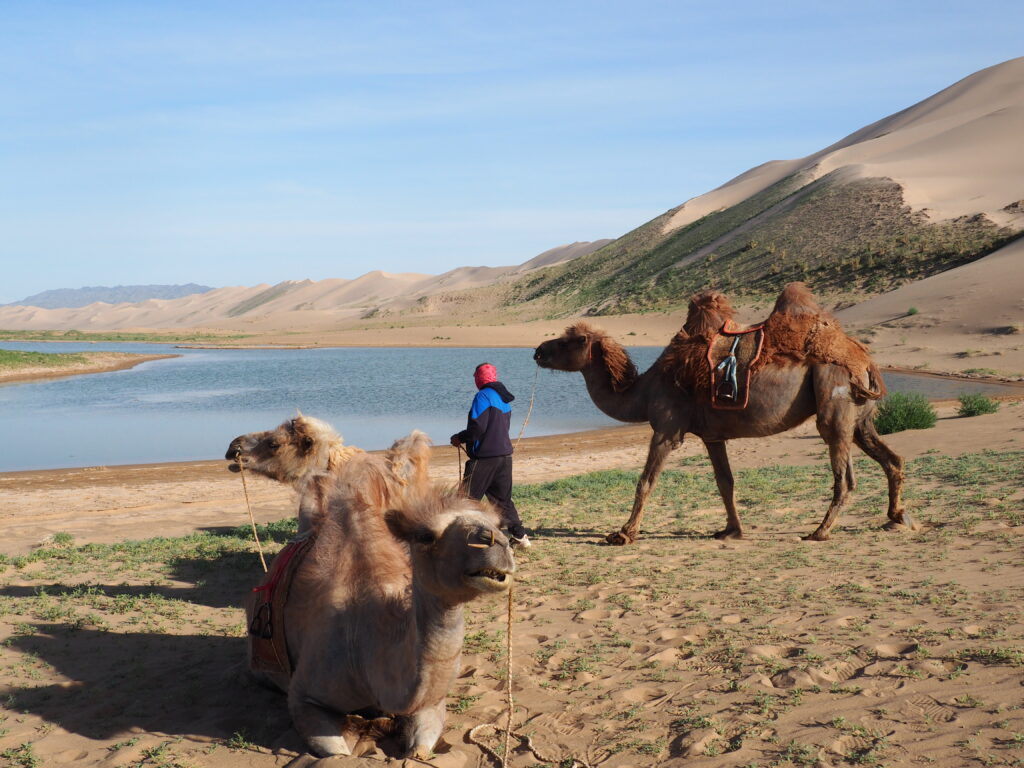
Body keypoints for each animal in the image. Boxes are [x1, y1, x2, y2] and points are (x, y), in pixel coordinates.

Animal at [246, 431, 516, 758]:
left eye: (501, 526)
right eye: (425, 536)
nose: (496, 542)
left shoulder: (431, 704)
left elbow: (419, 751)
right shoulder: (304, 696)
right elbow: (338, 753)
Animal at [533, 282, 913, 543]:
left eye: (571, 341)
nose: (537, 351)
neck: (645, 389)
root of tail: (866, 362)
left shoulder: (667, 429)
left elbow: (645, 481)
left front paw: (623, 534)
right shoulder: (713, 436)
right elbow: (725, 482)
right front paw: (731, 530)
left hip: (832, 398)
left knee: (844, 474)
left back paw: (820, 531)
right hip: (860, 418)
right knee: (891, 458)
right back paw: (897, 517)